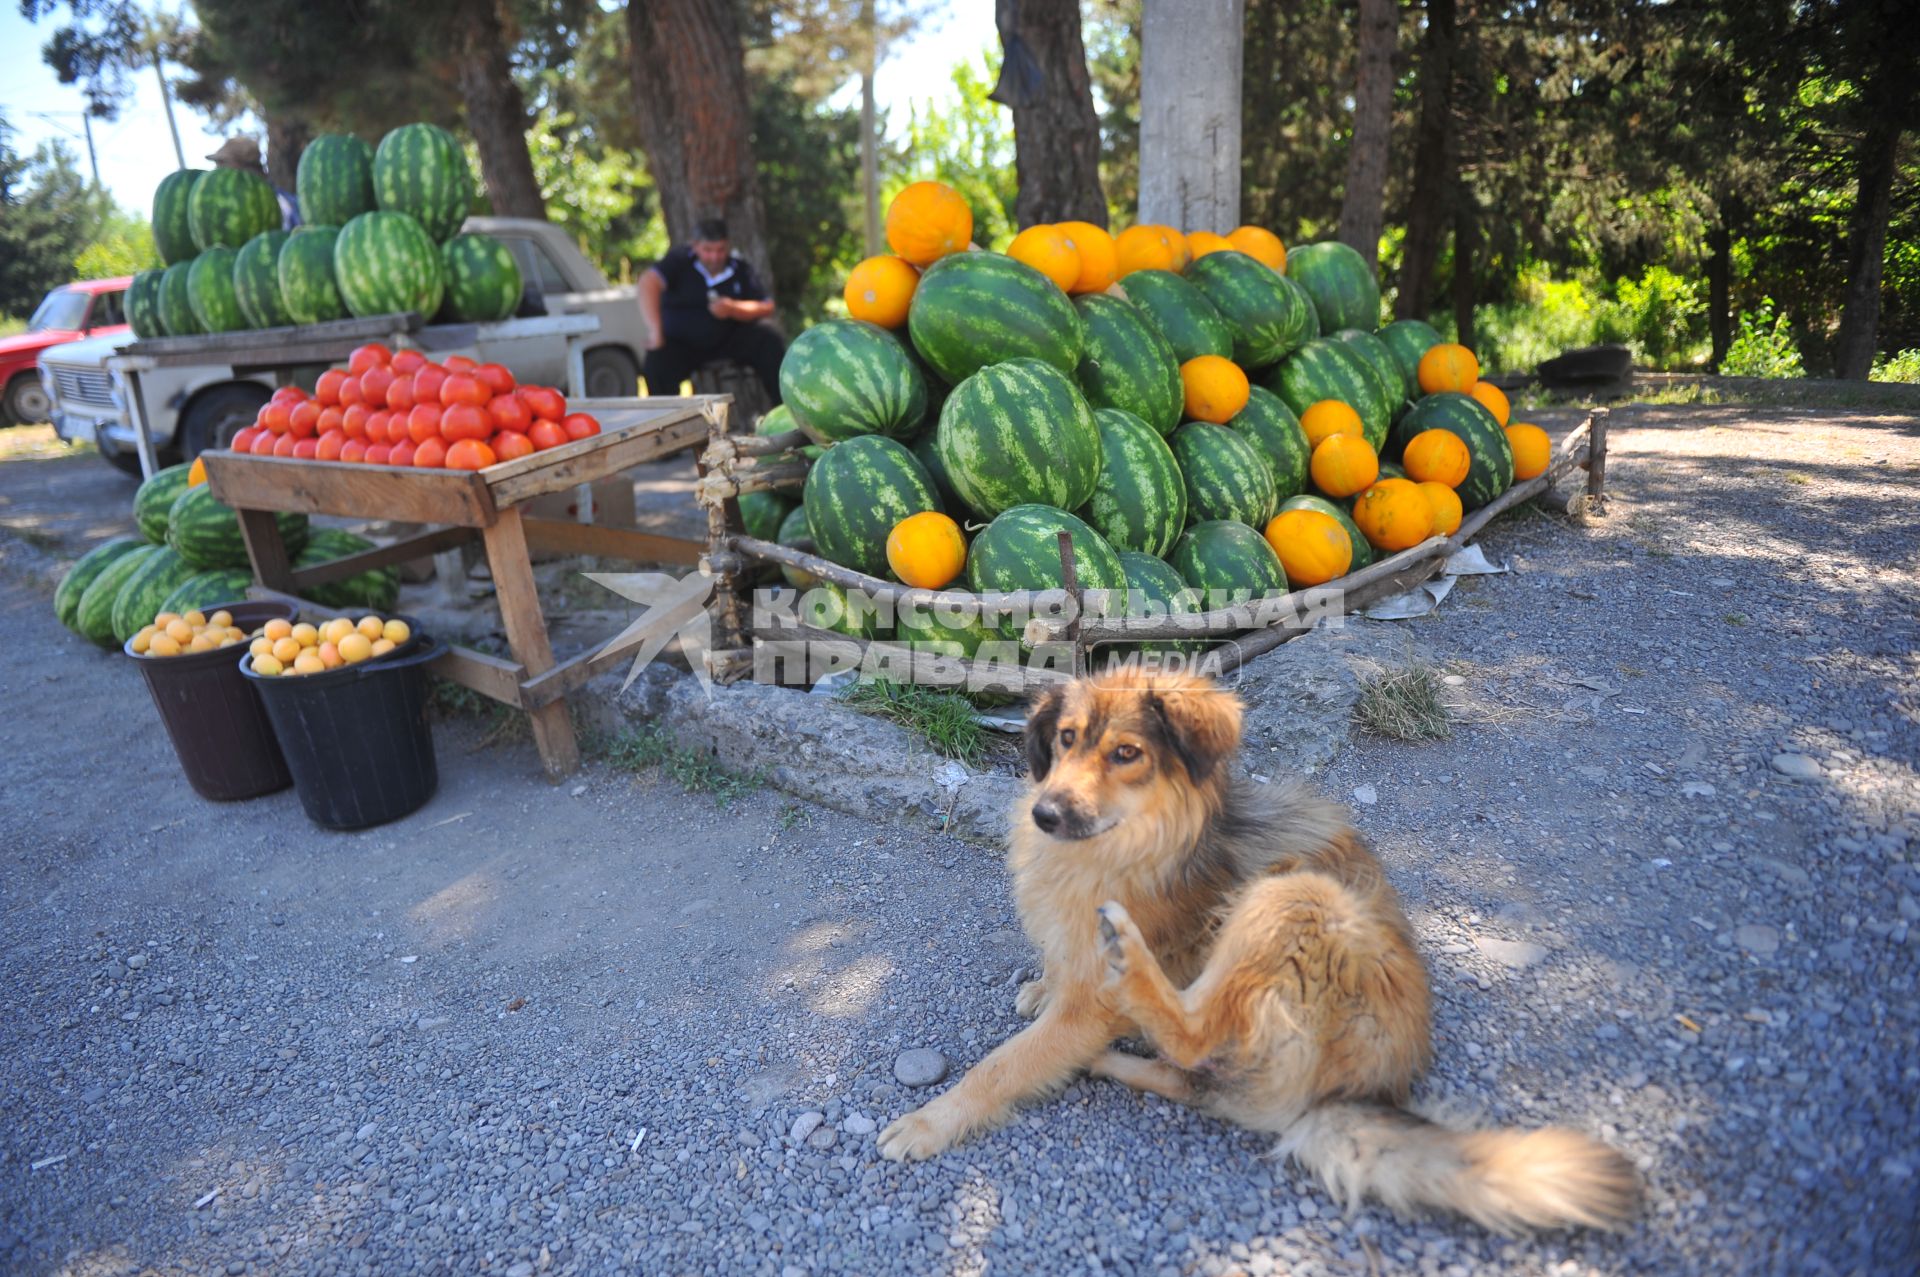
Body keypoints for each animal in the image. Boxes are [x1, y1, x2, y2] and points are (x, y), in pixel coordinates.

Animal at [879, 668, 1643, 1236]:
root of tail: (1355, 1089)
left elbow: (1003, 1064)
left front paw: (931, 1120)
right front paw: (1044, 985)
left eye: (1127, 753)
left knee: (1194, 1034)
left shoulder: (1088, 1007)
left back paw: (1129, 967)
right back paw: (1107, 1056)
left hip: (1295, 896)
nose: (1045, 813)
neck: (1131, 842)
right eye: (1065, 740)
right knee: (1200, 1081)